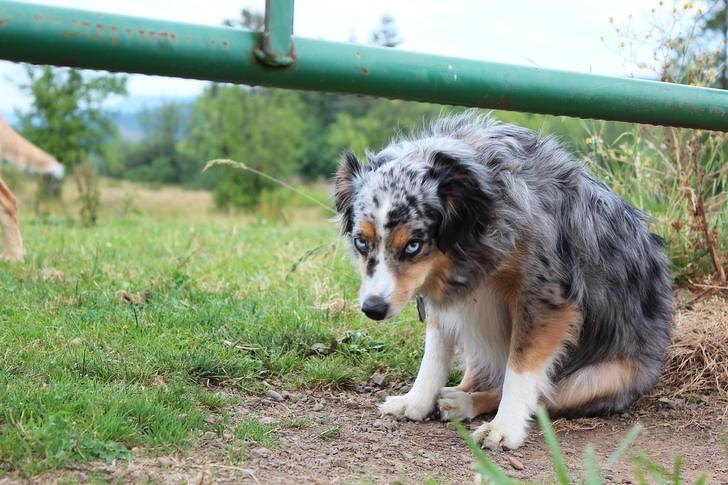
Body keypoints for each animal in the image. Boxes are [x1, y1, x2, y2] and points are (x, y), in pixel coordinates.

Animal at [334, 111, 672, 448]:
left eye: (413, 245)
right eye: (361, 242)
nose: (373, 309)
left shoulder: (545, 298)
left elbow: (519, 369)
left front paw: (504, 427)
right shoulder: (447, 287)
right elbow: (435, 353)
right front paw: (416, 401)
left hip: (597, 379)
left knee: (538, 396)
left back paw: (466, 403)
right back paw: (457, 394)